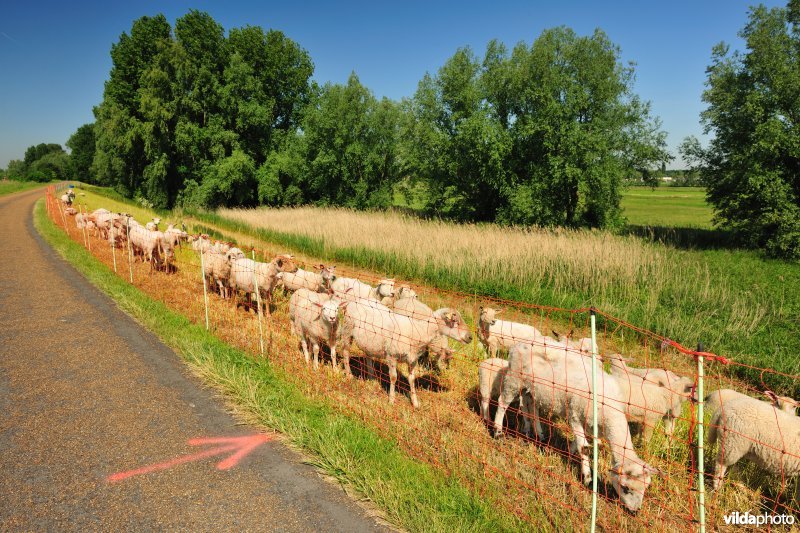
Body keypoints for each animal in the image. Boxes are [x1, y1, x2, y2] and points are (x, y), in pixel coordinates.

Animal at [340, 300, 472, 408]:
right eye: (454, 321)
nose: (470, 337)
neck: (419, 331)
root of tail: (353, 301)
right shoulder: (392, 356)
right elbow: (393, 377)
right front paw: (391, 400)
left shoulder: (413, 360)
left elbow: (412, 379)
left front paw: (415, 402)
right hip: (347, 329)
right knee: (346, 352)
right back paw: (349, 375)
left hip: (370, 342)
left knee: (368, 356)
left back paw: (372, 377)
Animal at [494, 340, 664, 512]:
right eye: (625, 488)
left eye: (645, 488)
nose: (634, 511)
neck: (608, 410)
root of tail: (519, 344)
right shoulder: (575, 415)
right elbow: (584, 448)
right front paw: (588, 478)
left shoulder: (592, 425)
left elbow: (582, 444)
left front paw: (570, 451)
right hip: (514, 378)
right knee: (503, 402)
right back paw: (498, 432)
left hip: (531, 387)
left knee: (530, 405)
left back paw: (536, 433)